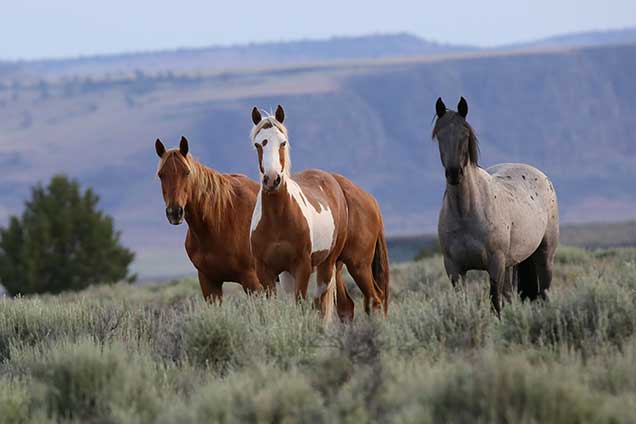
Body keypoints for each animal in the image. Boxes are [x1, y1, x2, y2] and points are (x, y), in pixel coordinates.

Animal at [247, 106, 388, 322]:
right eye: (257, 144)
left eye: (283, 142)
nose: (272, 180)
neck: (278, 218)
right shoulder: (267, 271)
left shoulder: (302, 266)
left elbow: (301, 305)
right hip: (334, 266)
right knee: (346, 306)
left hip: (351, 265)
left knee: (374, 299)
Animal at [434, 96, 560, 314]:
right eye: (439, 136)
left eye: (464, 135)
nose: (454, 173)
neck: (466, 212)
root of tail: (542, 176)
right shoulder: (455, 270)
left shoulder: (495, 265)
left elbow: (495, 303)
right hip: (511, 264)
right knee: (510, 295)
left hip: (544, 255)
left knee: (544, 292)